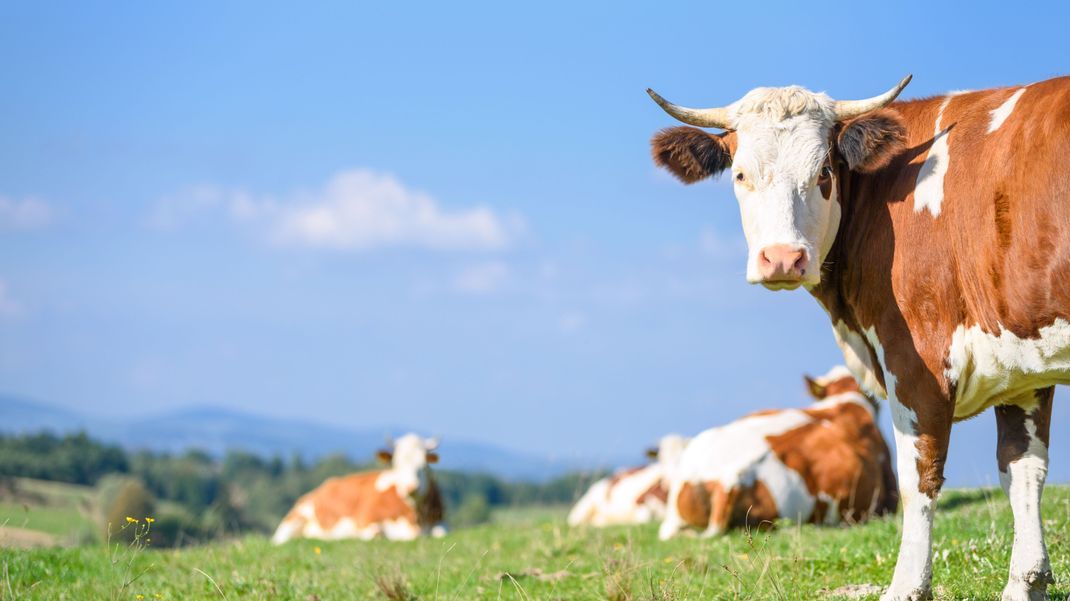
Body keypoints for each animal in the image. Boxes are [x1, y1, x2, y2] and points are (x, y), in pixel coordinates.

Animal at [276, 429, 447, 543]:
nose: (411, 488)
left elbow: (441, 533)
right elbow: (376, 534)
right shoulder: (367, 523)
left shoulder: (440, 523)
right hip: (292, 522)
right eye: (396, 465)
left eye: (424, 465)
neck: (415, 517)